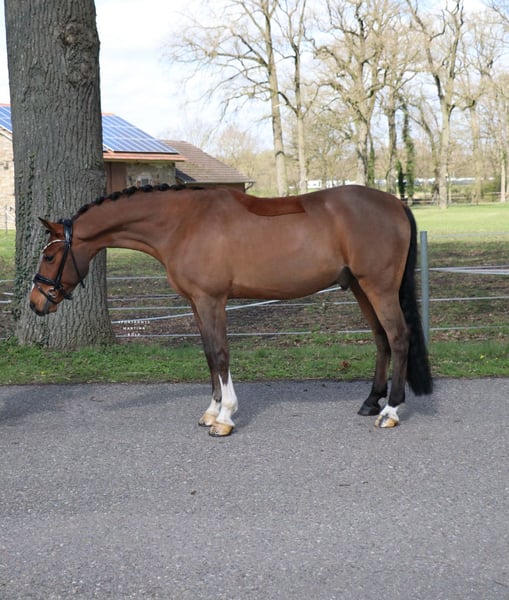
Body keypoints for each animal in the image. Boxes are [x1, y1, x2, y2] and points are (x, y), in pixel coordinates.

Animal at [29, 183, 432, 436]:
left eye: (49, 256)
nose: (35, 303)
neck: (183, 223)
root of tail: (395, 203)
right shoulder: (196, 303)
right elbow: (209, 354)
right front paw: (211, 412)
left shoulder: (212, 300)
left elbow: (221, 354)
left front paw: (225, 417)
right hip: (361, 288)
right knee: (381, 339)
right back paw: (371, 402)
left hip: (378, 286)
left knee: (399, 337)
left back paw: (390, 411)